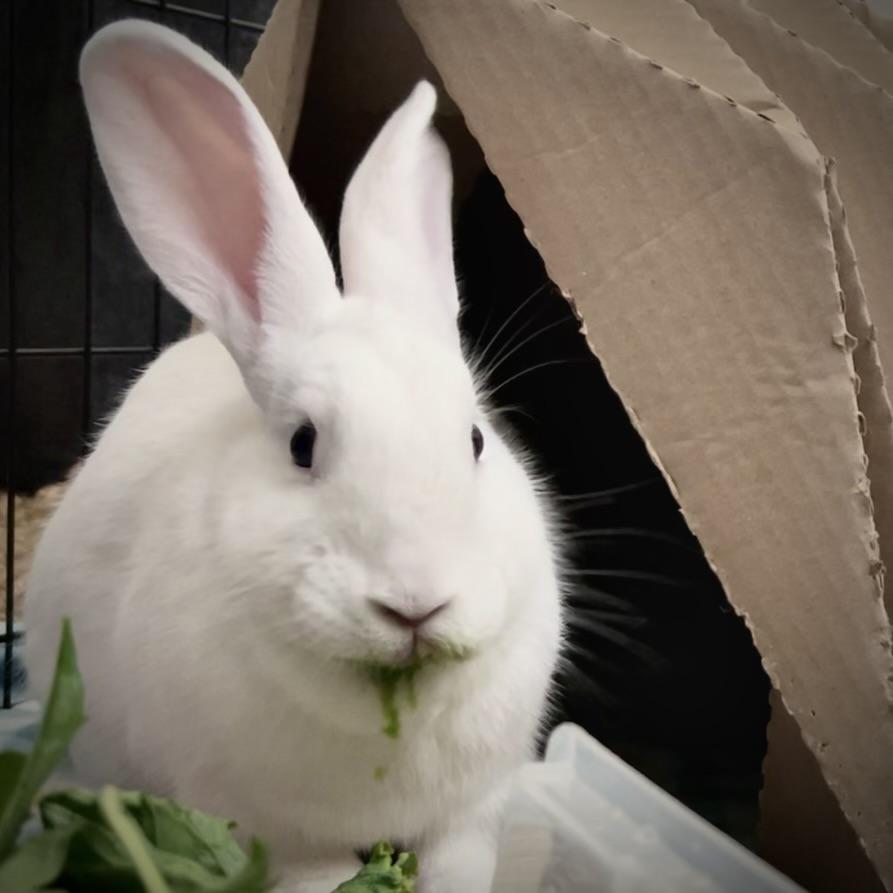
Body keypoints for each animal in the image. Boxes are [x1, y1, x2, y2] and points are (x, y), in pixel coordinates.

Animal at [23, 19, 565, 893]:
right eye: (301, 444)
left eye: (476, 439)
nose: (416, 604)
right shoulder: (277, 835)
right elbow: (315, 873)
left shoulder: (475, 809)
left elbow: (461, 860)